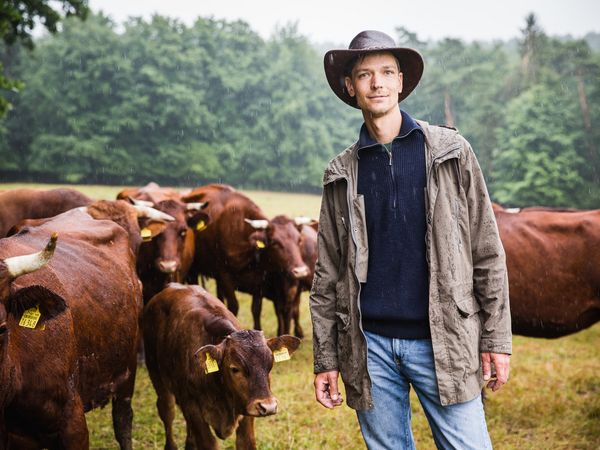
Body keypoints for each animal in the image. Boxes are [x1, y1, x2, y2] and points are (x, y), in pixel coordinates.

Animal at [141, 284, 300, 450]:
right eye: (235, 368)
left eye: (270, 365)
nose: (268, 406)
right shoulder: (192, 408)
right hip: (156, 373)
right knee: (167, 410)